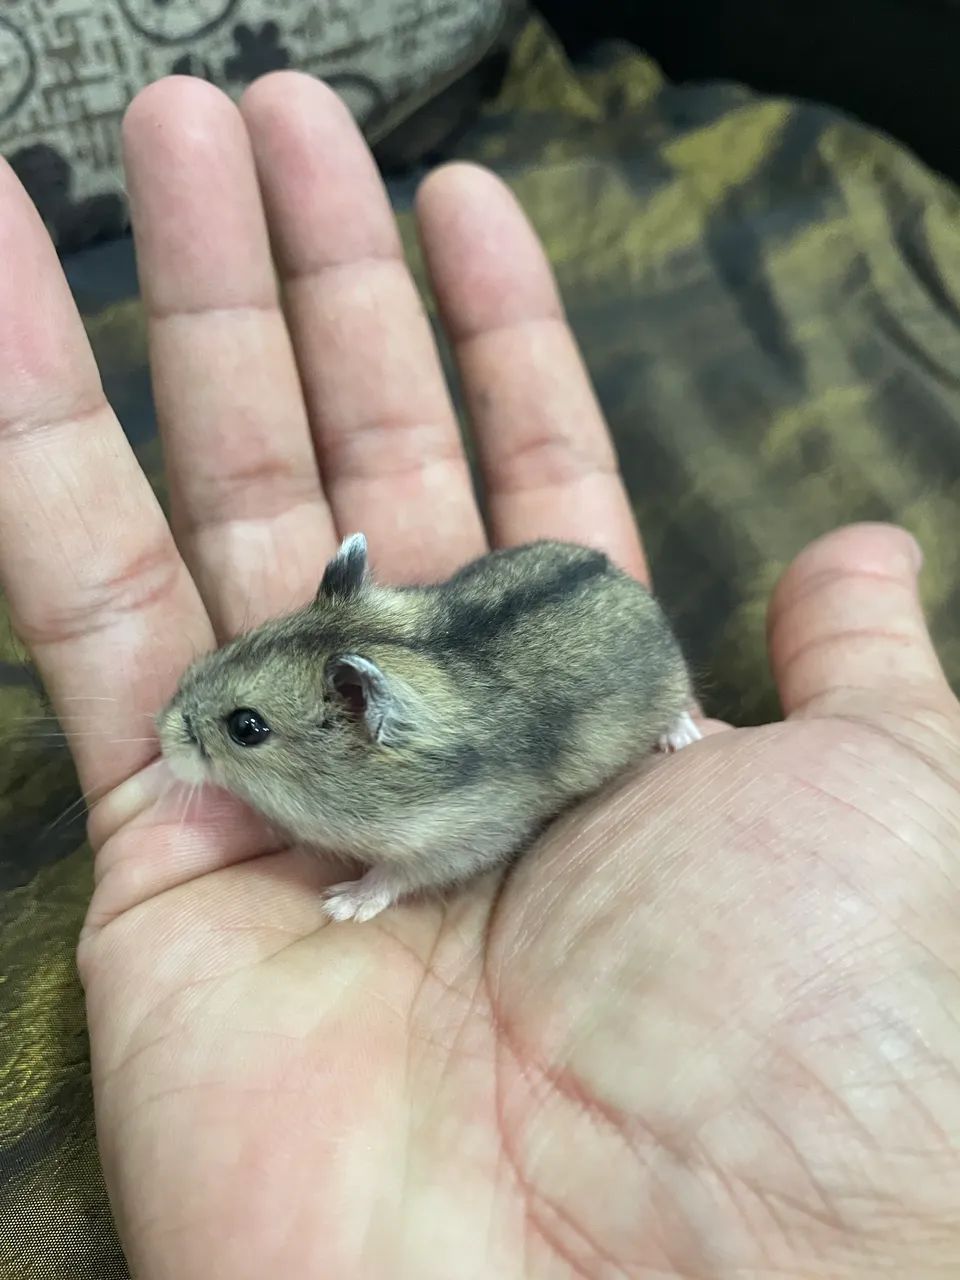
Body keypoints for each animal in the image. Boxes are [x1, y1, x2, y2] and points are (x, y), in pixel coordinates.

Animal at [156, 533, 700, 923]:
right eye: (239, 642)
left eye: (246, 727)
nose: (161, 737)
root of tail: (625, 578)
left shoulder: (466, 838)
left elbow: (396, 871)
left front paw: (340, 904)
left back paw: (682, 738)